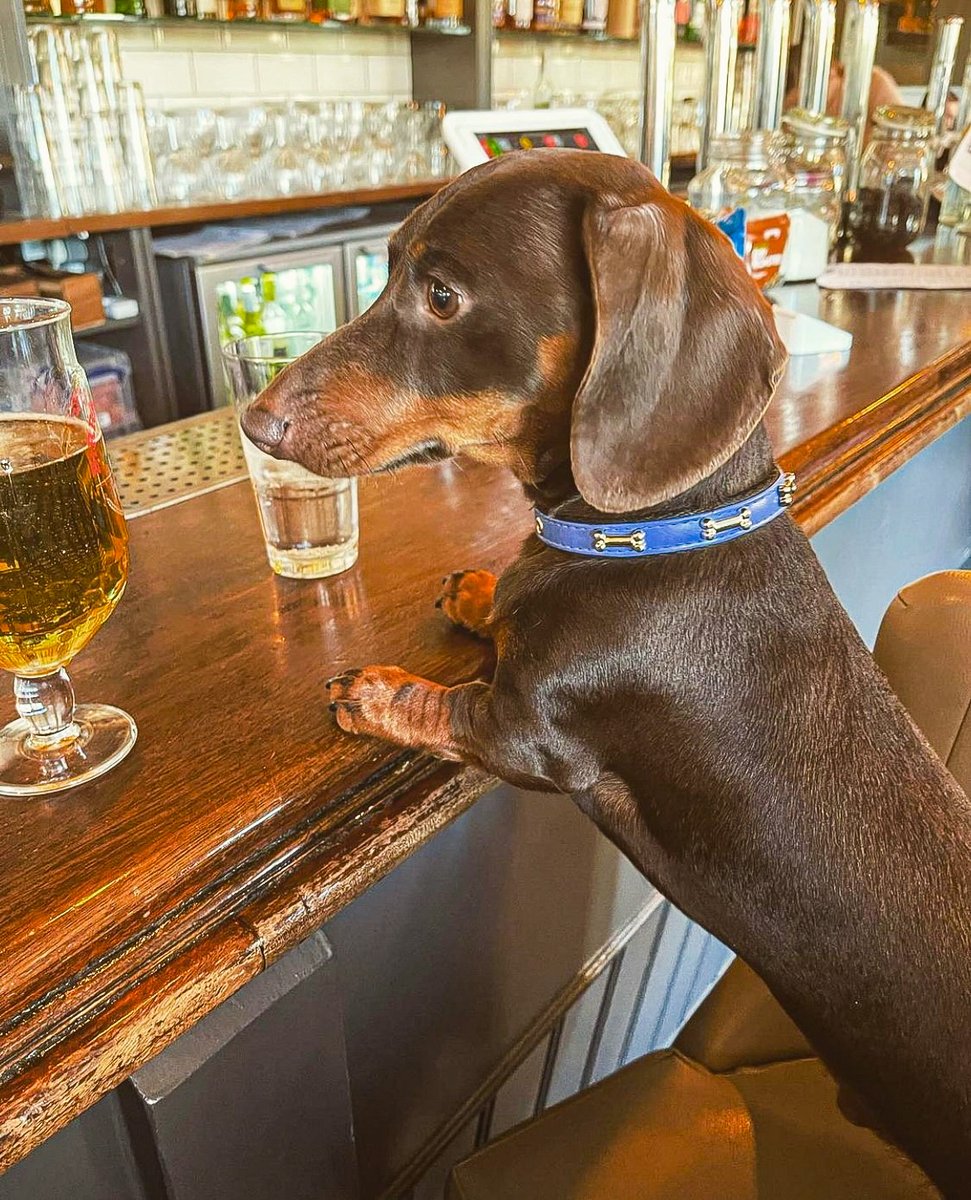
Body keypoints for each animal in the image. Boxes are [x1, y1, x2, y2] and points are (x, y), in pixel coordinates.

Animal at [240, 154, 969, 1195]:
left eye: (441, 295)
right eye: (384, 271)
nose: (255, 422)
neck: (656, 537)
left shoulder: (528, 735)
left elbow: (450, 710)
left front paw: (374, 692)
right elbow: (500, 606)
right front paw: (482, 591)